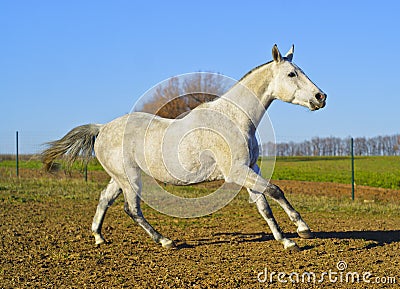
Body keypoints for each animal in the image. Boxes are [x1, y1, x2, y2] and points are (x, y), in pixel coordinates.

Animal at [43, 45, 324, 250]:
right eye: (292, 74)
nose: (321, 97)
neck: (234, 117)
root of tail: (102, 129)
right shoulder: (236, 172)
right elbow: (275, 190)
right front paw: (302, 230)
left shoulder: (250, 168)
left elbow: (264, 204)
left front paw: (286, 240)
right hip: (130, 178)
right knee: (131, 209)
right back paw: (165, 241)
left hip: (119, 178)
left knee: (105, 199)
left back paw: (99, 238)